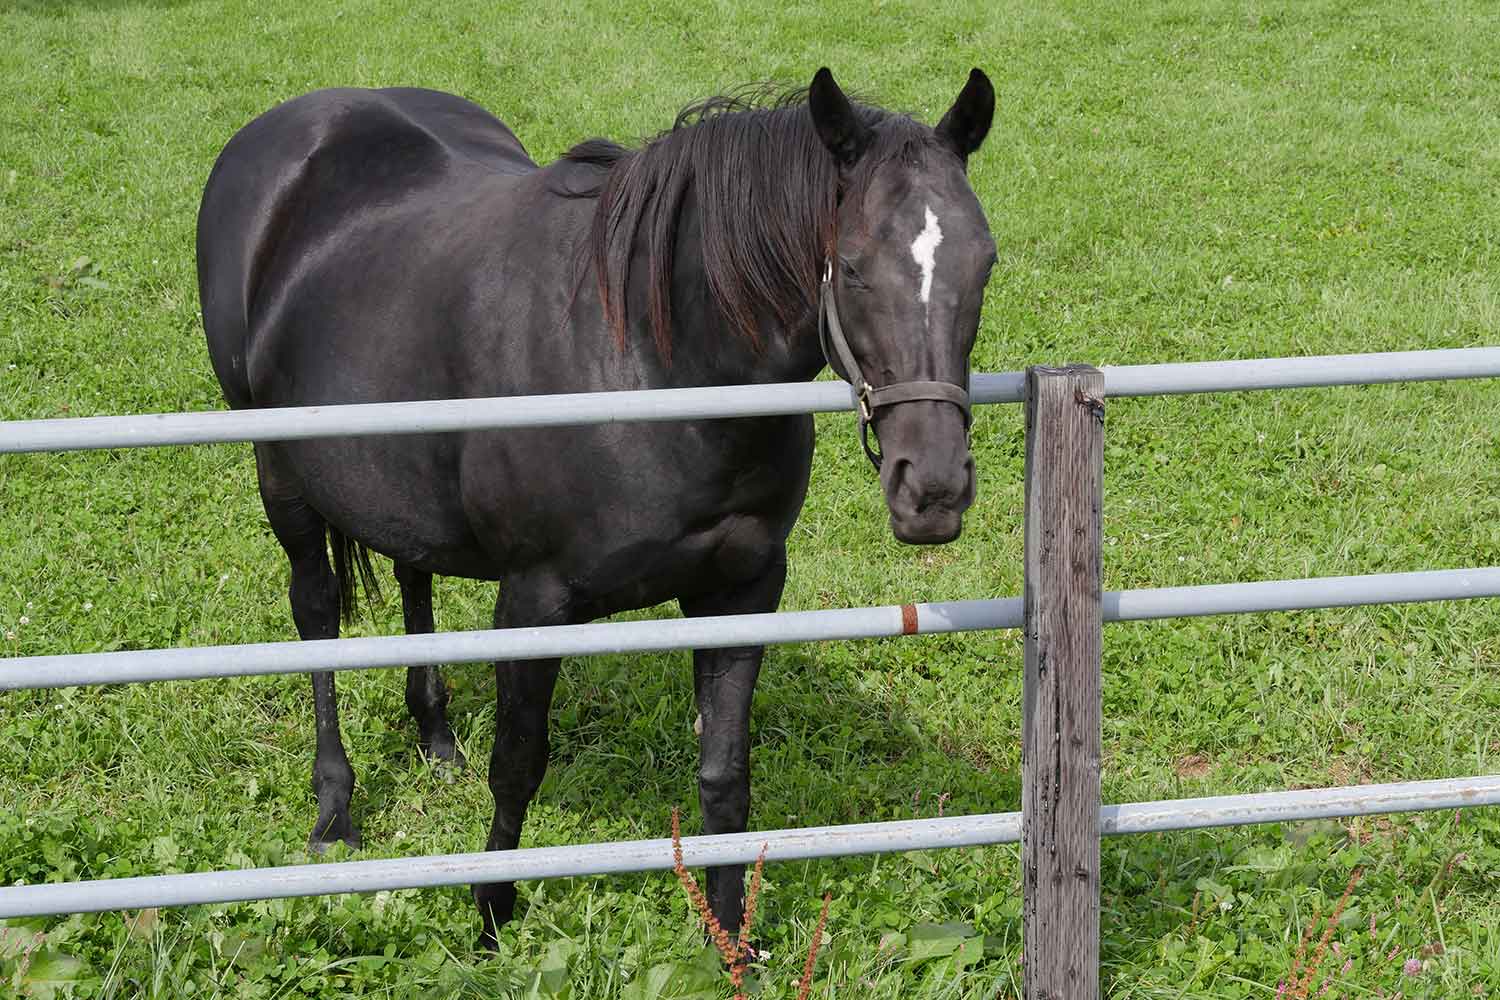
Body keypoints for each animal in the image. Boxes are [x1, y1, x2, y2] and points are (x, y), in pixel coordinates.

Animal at [196, 68, 996, 947]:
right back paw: (334, 811)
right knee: (316, 615)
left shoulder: (743, 590)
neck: (650, 360)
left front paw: (727, 938)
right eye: (851, 267)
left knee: (414, 577)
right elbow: (517, 764)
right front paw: (490, 920)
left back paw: (436, 741)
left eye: (984, 264)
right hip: (282, 480)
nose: (933, 489)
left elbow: (725, 774)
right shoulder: (534, 602)